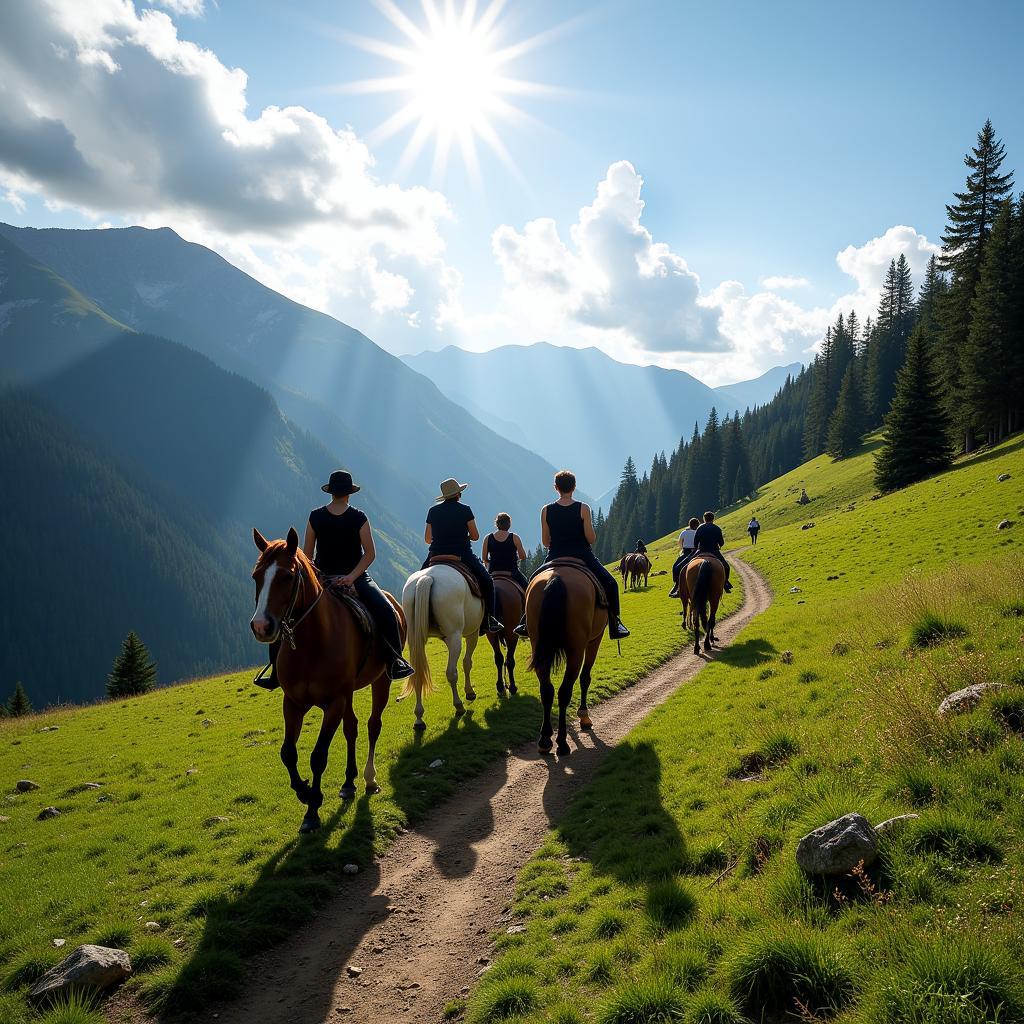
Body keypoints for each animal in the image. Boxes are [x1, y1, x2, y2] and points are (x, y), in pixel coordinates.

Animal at [249, 532, 405, 835]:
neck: (312, 643)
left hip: (380, 681)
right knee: (351, 728)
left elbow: (318, 756)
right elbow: (288, 753)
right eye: (256, 576)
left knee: (372, 726)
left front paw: (312, 809)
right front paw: (304, 791)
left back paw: (369, 779)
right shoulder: (293, 703)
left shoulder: (334, 702)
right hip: (348, 694)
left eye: (287, 576)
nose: (261, 626)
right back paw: (348, 783)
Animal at [399, 569, 483, 729]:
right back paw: (459, 706)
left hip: (415, 640)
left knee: (417, 674)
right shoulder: (472, 633)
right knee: (451, 672)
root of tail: (427, 577)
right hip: (454, 637)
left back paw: (419, 717)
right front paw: (469, 692)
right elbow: (467, 663)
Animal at [528, 565, 606, 757]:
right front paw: (584, 716)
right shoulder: (595, 639)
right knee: (565, 692)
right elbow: (585, 677)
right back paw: (562, 743)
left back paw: (545, 740)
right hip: (575, 651)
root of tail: (556, 578)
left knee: (546, 691)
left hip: (539, 647)